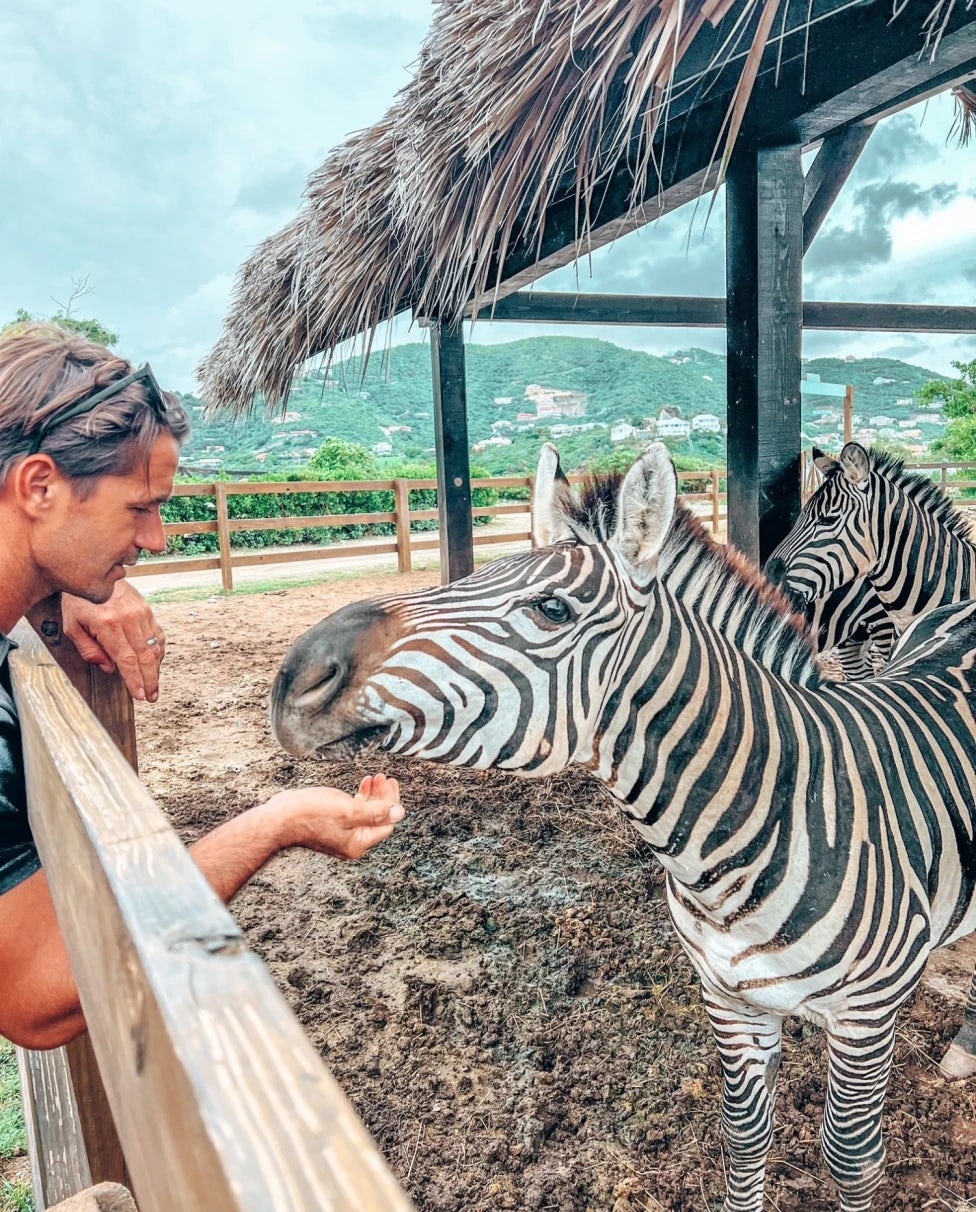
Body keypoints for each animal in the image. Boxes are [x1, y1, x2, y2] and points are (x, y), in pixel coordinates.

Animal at [270, 443, 974, 1212]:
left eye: (551, 608)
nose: (296, 677)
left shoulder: (865, 1020)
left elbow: (851, 1159)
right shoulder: (730, 1003)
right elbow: (744, 1145)